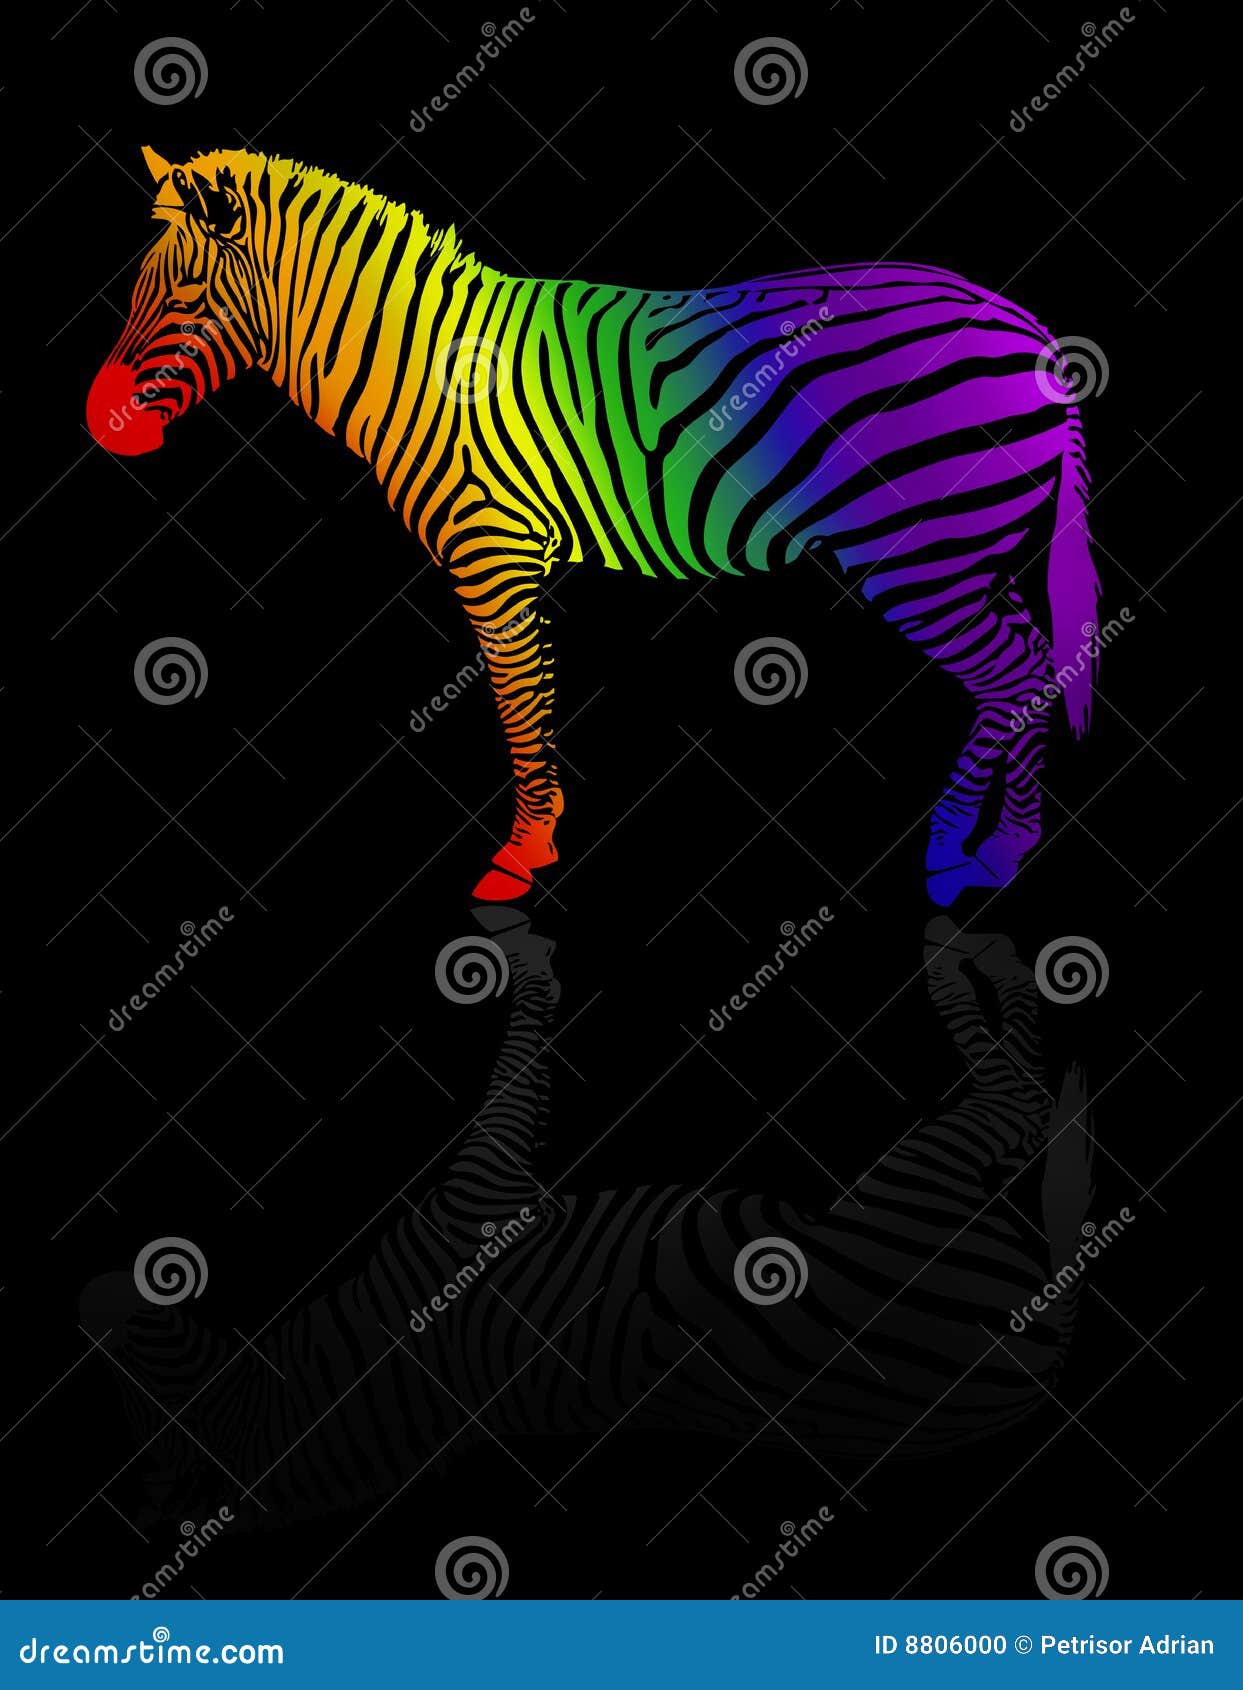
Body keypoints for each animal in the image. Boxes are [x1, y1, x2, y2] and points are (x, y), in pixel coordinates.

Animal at [81, 911, 1094, 1540]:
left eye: (137, 1386)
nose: (96, 1289)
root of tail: (1043, 1353)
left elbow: (519, 1042)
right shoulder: (483, 1186)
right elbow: (524, 1039)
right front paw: (519, 944)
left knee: (1020, 1095)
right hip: (922, 1175)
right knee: (1016, 1094)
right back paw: (964, 947)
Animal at [87, 147, 1101, 908]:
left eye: (181, 297)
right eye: (136, 289)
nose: (102, 425)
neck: (424, 368)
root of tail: (1029, 330)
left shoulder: (490, 549)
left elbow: (515, 697)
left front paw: (520, 855)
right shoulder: (511, 556)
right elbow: (532, 690)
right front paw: (542, 839)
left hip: (920, 550)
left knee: (1011, 677)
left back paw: (954, 857)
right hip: (972, 549)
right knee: (1031, 664)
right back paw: (1006, 848)